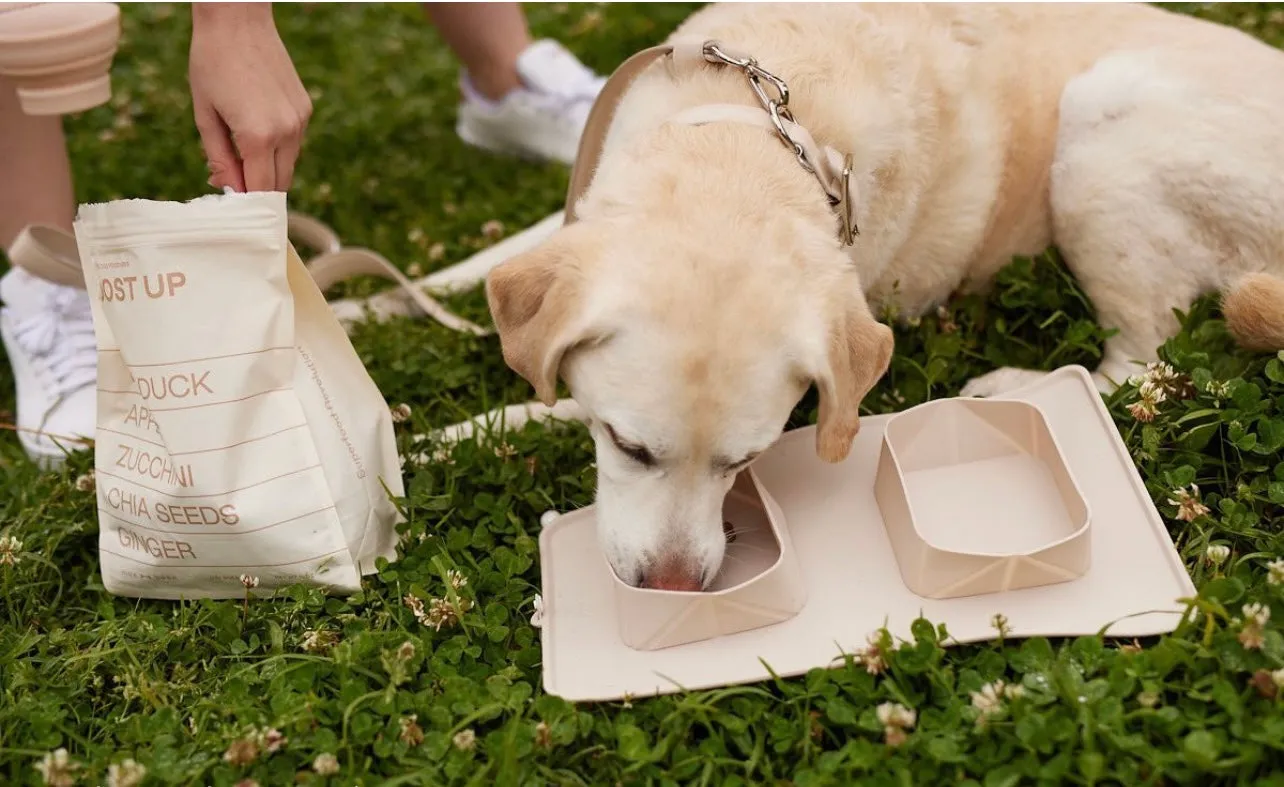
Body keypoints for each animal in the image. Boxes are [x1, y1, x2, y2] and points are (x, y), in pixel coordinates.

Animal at [482, 1, 1284, 590]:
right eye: (628, 446)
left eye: (747, 461)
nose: (674, 588)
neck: (748, 133)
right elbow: (492, 260)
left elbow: (512, 415)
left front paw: (467, 429)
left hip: (1103, 115)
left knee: (1144, 365)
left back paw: (1015, 384)